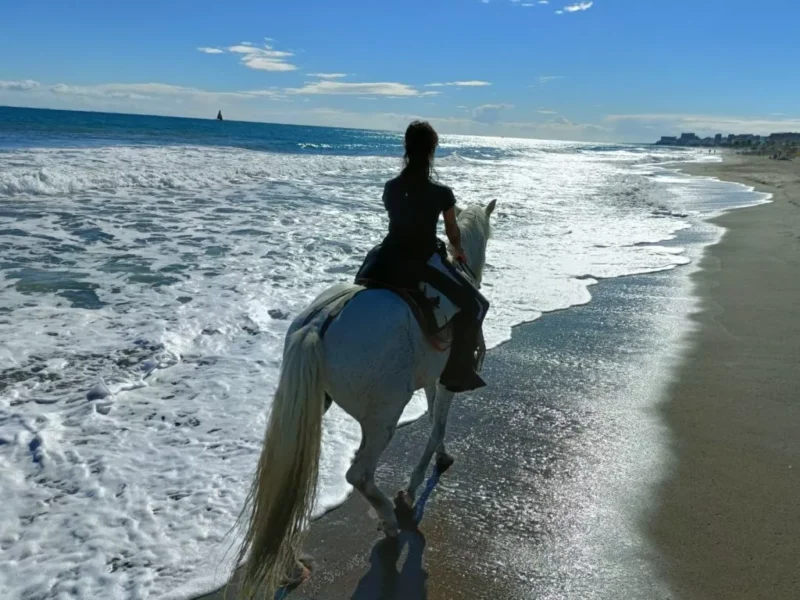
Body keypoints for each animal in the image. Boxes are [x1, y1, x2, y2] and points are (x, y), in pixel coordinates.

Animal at [234, 200, 497, 597]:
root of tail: (318, 325)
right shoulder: (446, 379)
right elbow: (437, 424)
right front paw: (412, 488)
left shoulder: (431, 378)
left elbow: (433, 419)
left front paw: (438, 458)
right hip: (383, 416)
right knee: (359, 473)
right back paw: (389, 519)